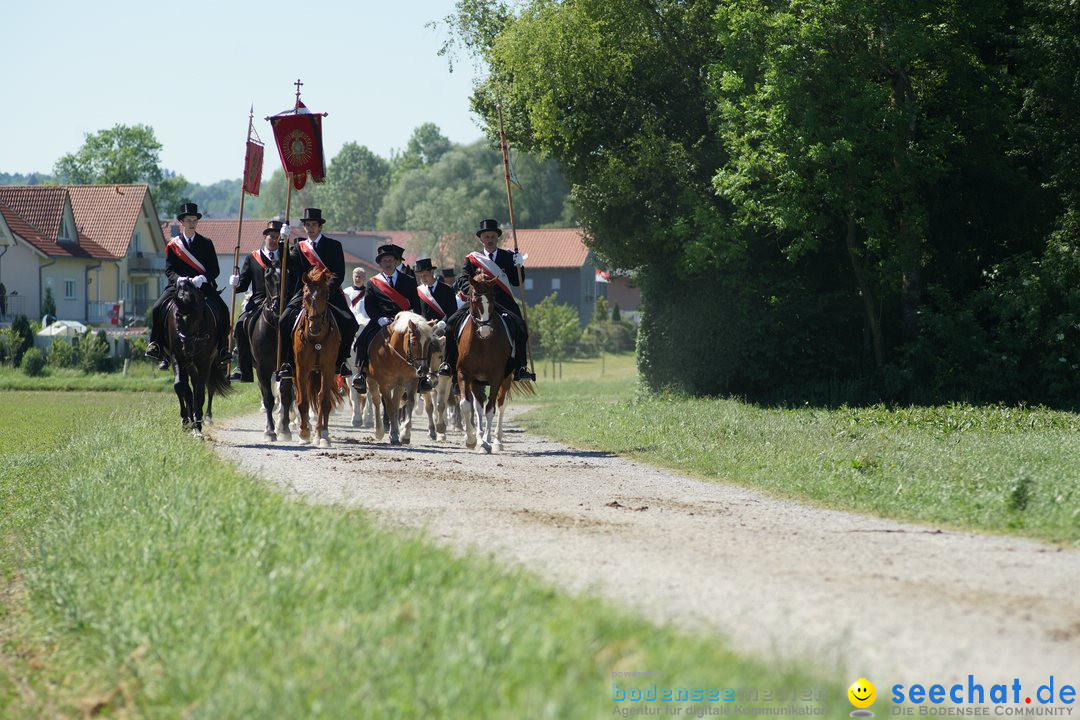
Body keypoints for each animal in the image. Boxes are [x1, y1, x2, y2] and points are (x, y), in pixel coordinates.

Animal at [166, 280, 232, 440]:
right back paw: (192, 418)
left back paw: (203, 418)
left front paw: (198, 426)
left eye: (196, 317)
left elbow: (200, 392)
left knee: (208, 387)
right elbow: (180, 387)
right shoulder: (177, 358)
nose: (187, 348)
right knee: (189, 389)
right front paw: (186, 420)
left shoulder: (205, 361)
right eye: (177, 317)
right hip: (190, 365)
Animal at [246, 264, 293, 442]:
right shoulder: (262, 368)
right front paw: (270, 431)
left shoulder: (288, 368)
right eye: (267, 277)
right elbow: (268, 398)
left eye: (287, 274)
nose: (278, 305)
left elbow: (286, 396)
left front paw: (284, 429)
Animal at [291, 267, 341, 446]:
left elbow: (323, 400)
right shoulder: (301, 368)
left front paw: (321, 434)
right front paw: (304, 433)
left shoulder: (328, 368)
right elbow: (302, 401)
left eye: (326, 295)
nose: (315, 327)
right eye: (305, 295)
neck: (316, 339)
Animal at [365, 310, 436, 444]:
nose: (423, 370)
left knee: (396, 403)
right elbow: (389, 407)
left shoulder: (411, 382)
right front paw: (393, 435)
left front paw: (405, 434)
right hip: (371, 381)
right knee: (376, 401)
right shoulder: (384, 385)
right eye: (413, 343)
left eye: (429, 343)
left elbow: (409, 404)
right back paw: (379, 431)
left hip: (400, 386)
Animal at [453, 273, 533, 453]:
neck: (483, 343)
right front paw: (472, 440)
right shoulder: (464, 374)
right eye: (474, 299)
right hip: (476, 382)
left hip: (506, 379)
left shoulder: (497, 377)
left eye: (492, 299)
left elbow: (491, 409)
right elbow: (466, 405)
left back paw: (496, 441)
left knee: (500, 404)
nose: (485, 331)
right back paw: (480, 436)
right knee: (478, 406)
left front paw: (486, 443)